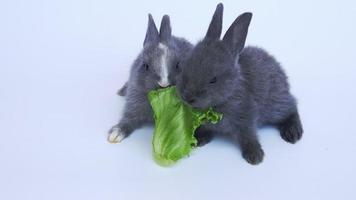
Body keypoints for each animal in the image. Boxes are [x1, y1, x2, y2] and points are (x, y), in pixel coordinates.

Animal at [175, 3, 304, 165]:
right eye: (185, 66)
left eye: (213, 79)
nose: (187, 97)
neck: (227, 95)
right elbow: (206, 129)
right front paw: (199, 139)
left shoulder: (246, 118)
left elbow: (248, 136)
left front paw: (255, 156)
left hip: (276, 105)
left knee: (292, 107)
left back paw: (293, 132)